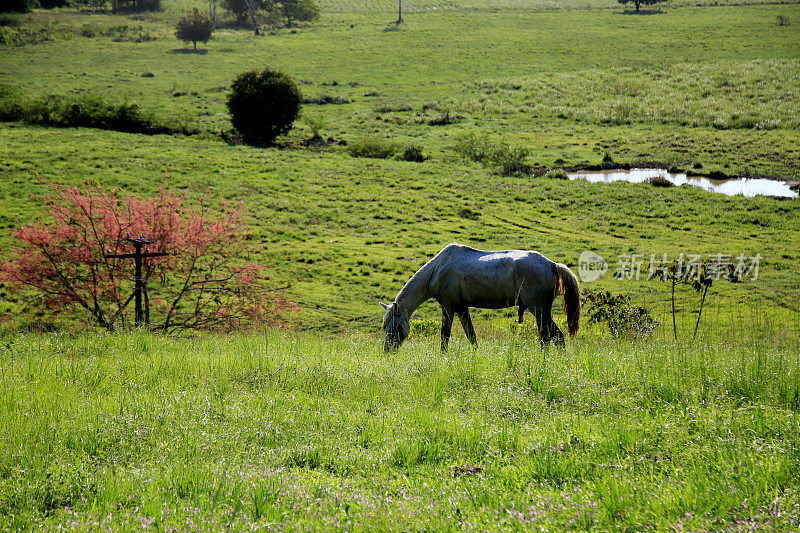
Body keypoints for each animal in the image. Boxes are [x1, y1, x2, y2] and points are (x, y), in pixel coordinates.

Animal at [382, 243, 580, 352]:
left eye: (396, 326)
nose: (387, 350)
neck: (439, 267)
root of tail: (552, 264)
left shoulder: (448, 307)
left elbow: (445, 335)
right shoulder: (461, 308)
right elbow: (471, 336)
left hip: (538, 310)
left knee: (548, 337)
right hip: (543, 311)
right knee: (557, 336)